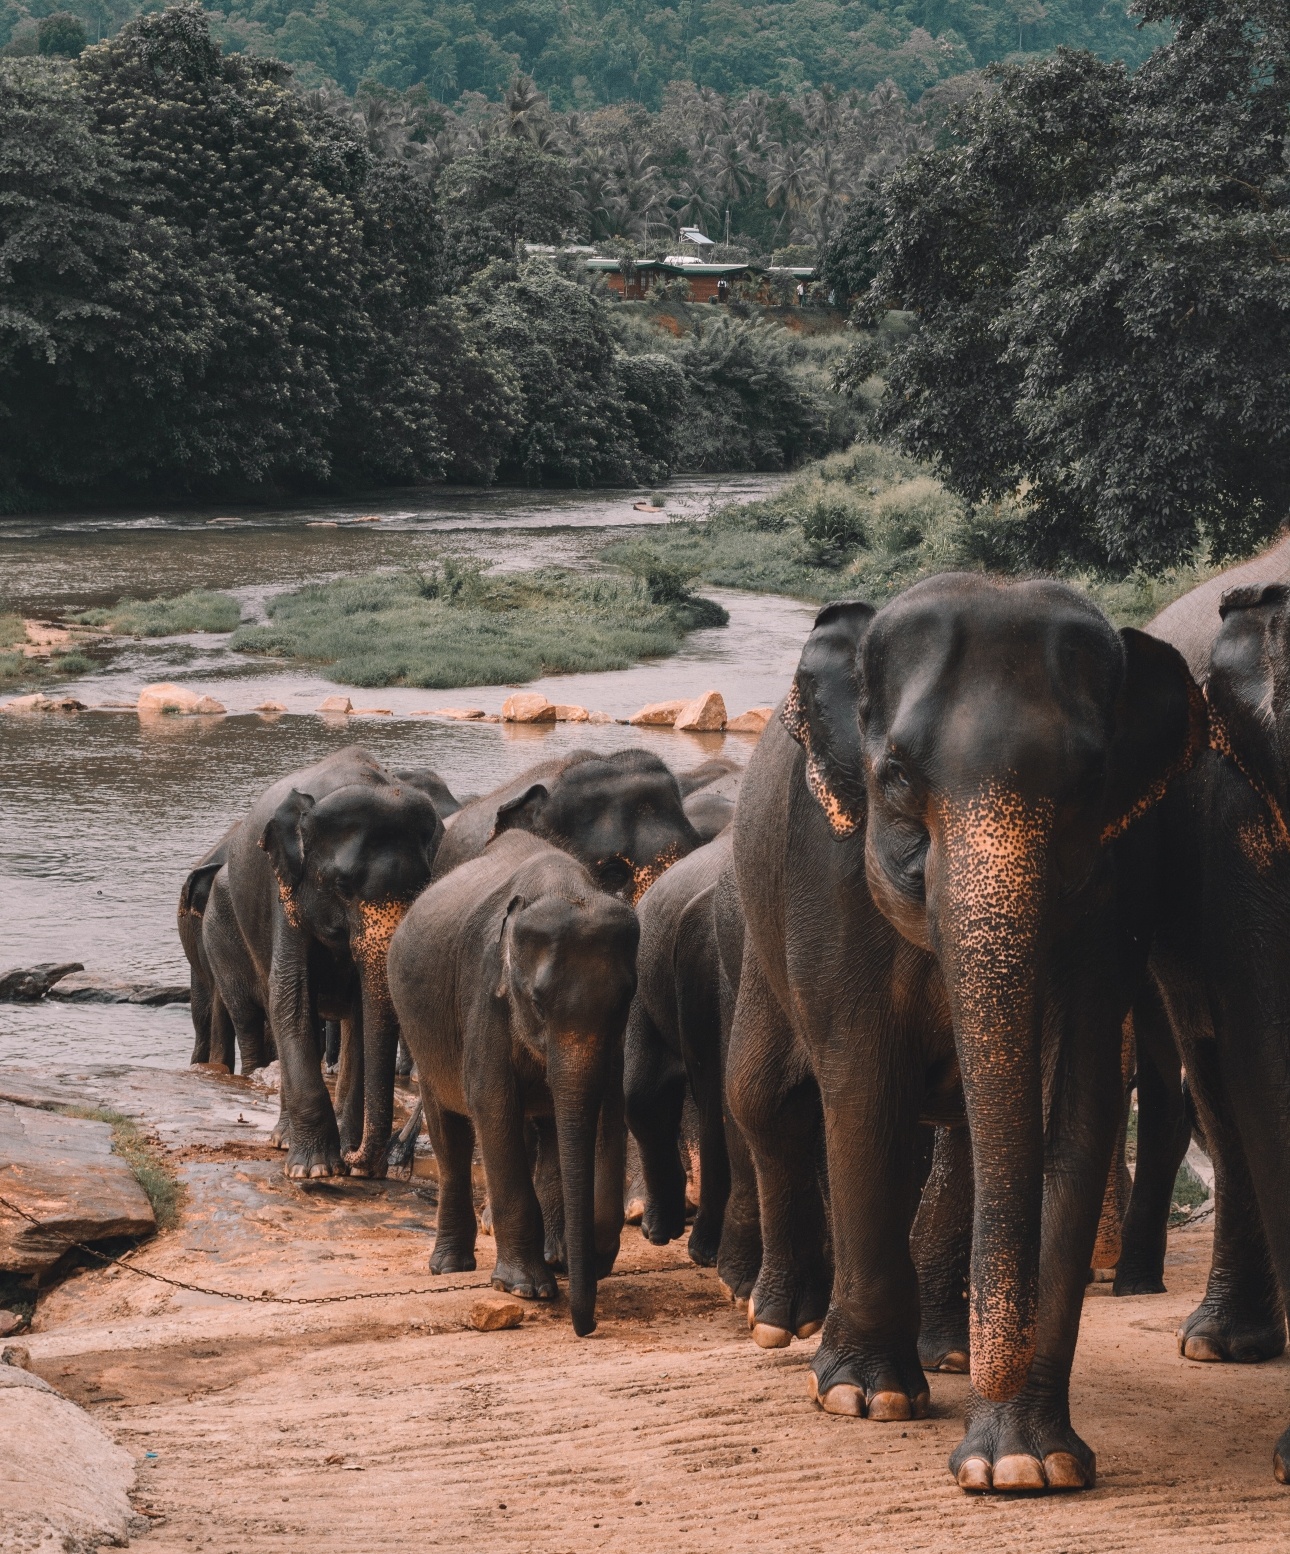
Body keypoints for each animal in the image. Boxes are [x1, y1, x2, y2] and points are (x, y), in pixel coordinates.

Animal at [220, 746, 443, 1179]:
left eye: (423, 887)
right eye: (343, 886)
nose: (361, 1161)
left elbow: (362, 1014)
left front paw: (345, 1160)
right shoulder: (284, 892)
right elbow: (290, 998)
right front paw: (316, 1170)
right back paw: (284, 1140)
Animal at [387, 830, 639, 1337]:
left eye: (625, 1000)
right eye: (537, 1002)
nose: (586, 1328)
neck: (564, 887)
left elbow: (604, 1107)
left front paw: (583, 1260)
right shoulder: (485, 993)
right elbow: (492, 1104)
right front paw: (526, 1288)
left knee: (545, 1129)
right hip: (422, 1031)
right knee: (450, 1132)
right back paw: (450, 1267)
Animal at [726, 575, 1204, 1492]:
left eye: (1091, 781)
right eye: (896, 776)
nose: (996, 1367)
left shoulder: (1115, 888)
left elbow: (1073, 1109)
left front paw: (1025, 1463)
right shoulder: (825, 871)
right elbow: (862, 1092)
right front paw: (866, 1399)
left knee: (965, 1141)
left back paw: (946, 1351)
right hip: (759, 931)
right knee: (764, 1098)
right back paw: (780, 1324)